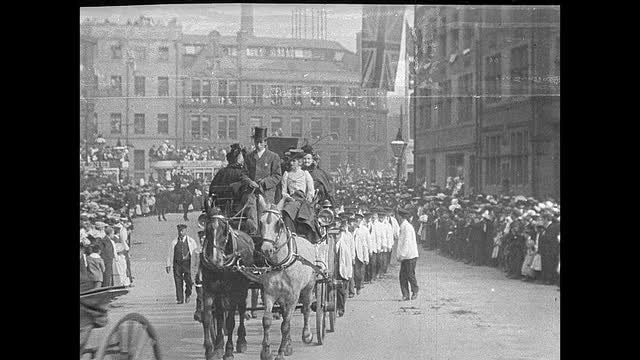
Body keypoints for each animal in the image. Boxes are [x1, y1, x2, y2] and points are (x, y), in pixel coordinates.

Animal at [202, 211, 258, 360]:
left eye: (225, 231)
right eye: (207, 230)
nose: (215, 260)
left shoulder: (233, 292)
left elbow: (230, 321)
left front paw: (228, 350)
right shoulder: (210, 290)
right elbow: (210, 318)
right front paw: (212, 349)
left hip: (242, 288)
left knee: (242, 308)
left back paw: (241, 342)